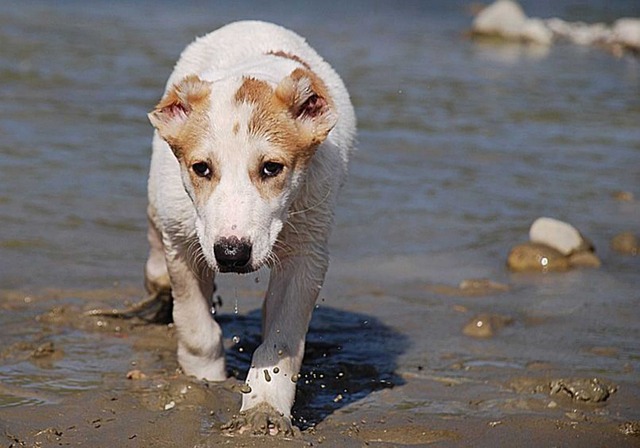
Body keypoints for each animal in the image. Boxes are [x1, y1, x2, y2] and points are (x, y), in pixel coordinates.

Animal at [144, 21, 356, 434]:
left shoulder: (308, 256)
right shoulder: (183, 244)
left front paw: (265, 408)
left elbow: (281, 342)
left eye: (272, 168)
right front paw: (203, 381)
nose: (231, 254)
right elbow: (196, 327)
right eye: (201, 168)